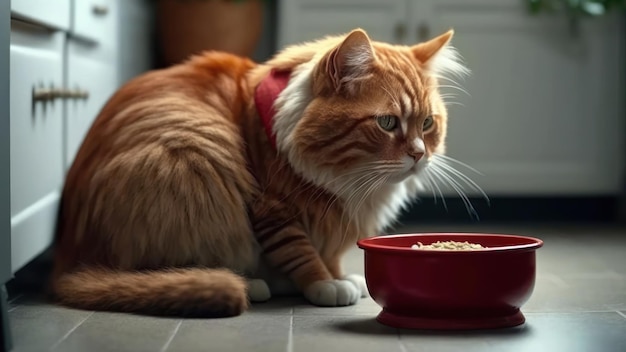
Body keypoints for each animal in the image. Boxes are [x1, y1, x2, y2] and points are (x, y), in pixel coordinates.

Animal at [51, 28, 466, 318]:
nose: (419, 154)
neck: (355, 181)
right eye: (387, 123)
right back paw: (252, 284)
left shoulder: (331, 220)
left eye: (427, 123)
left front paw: (339, 275)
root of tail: (68, 254)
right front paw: (324, 284)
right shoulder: (272, 209)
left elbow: (328, 252)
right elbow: (300, 250)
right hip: (198, 155)